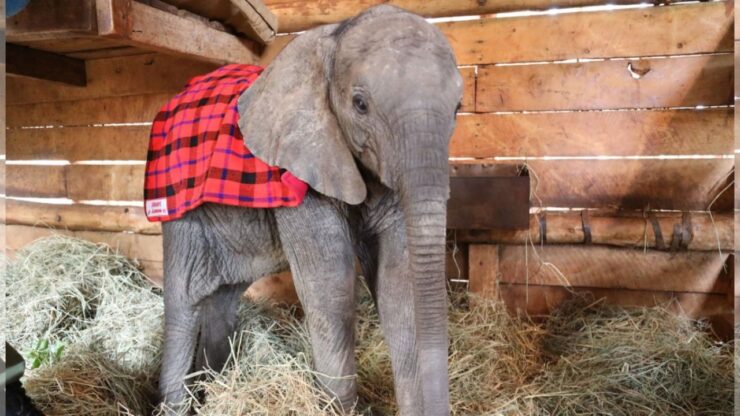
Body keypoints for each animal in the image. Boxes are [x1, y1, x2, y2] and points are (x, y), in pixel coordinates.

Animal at [150, 4, 460, 416]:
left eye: (458, 108)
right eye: (360, 104)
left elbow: (399, 282)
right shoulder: (301, 172)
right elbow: (330, 284)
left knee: (224, 296)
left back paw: (214, 391)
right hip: (176, 203)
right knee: (184, 302)